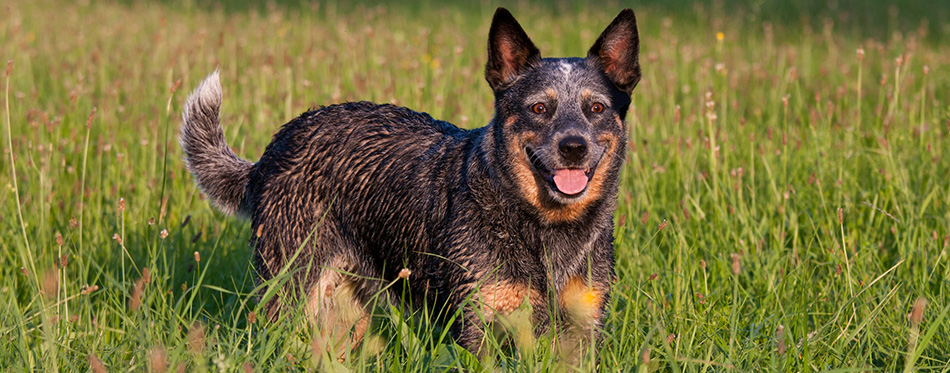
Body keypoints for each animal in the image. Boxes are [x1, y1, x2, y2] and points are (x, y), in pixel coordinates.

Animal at [182, 7, 644, 354]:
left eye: (597, 108)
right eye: (539, 108)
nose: (573, 147)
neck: (545, 226)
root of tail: (272, 151)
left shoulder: (583, 329)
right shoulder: (478, 325)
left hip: (344, 315)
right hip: (292, 293)